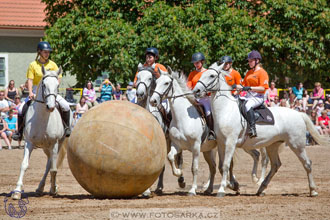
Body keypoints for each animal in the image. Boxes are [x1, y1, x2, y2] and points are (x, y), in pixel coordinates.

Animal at [11, 66, 70, 200]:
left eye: (57, 85)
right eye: (44, 84)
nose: (51, 106)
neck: (43, 118)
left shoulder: (54, 144)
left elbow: (53, 168)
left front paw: (53, 189)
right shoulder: (29, 143)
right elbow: (24, 164)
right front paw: (17, 191)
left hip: (56, 145)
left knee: (50, 165)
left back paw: (48, 187)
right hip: (45, 147)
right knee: (49, 163)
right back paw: (40, 188)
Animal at [135, 63, 186, 194]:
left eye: (149, 78)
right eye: (138, 77)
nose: (140, 94)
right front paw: (146, 190)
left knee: (179, 158)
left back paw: (180, 180)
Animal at [193, 62, 328, 198]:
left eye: (211, 75)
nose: (196, 90)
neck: (226, 110)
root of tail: (299, 114)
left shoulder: (230, 142)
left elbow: (226, 165)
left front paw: (222, 190)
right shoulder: (221, 143)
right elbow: (222, 166)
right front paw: (231, 186)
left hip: (296, 144)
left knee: (307, 163)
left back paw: (313, 190)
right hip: (272, 145)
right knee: (275, 165)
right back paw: (261, 188)